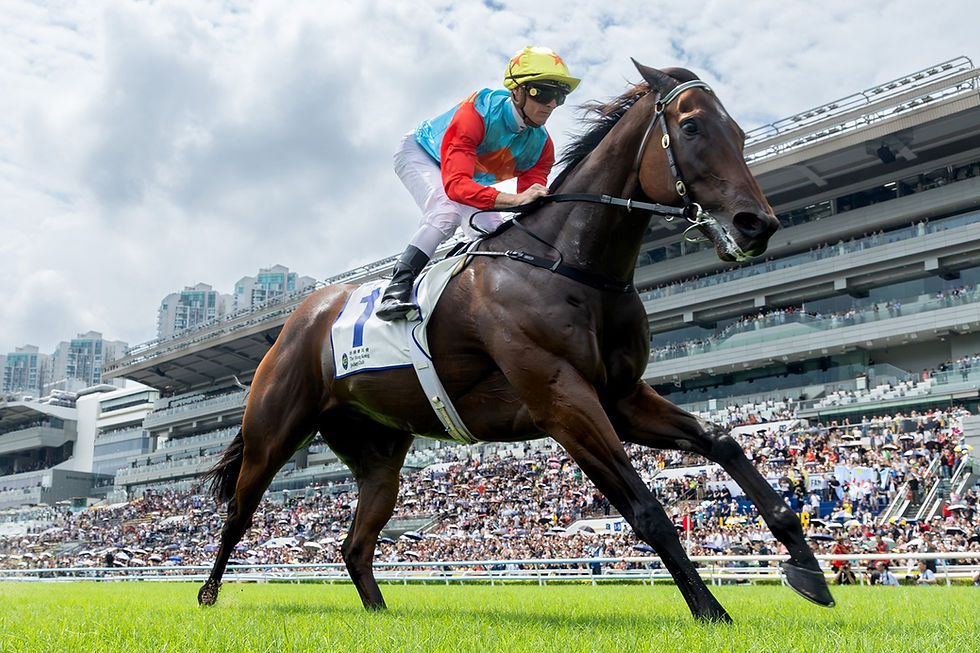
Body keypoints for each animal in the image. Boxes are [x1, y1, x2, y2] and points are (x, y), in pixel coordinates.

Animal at [197, 59, 835, 622]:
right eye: (693, 126)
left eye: (741, 132)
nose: (758, 224)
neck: (570, 265)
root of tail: (299, 319)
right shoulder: (562, 402)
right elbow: (648, 510)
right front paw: (711, 611)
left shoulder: (620, 398)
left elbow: (723, 441)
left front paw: (807, 568)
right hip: (274, 433)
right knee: (238, 515)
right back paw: (206, 596)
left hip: (378, 455)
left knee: (354, 544)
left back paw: (380, 614)